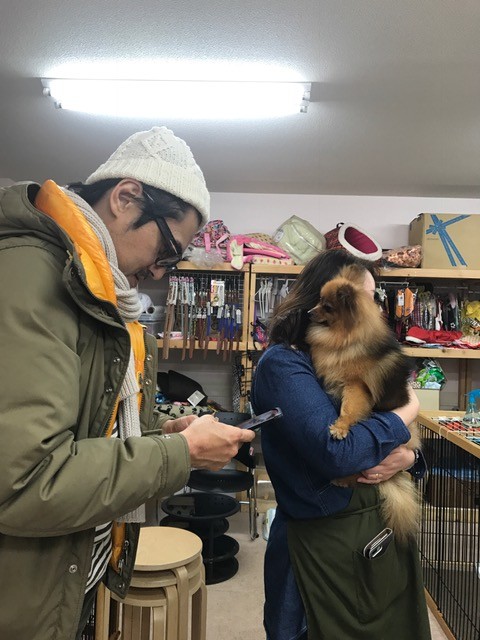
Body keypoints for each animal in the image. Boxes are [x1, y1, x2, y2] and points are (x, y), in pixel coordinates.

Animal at [306, 263, 421, 543]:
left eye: (327, 306)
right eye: (318, 300)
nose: (308, 312)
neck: (345, 336)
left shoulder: (356, 387)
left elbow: (350, 408)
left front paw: (341, 427)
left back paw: (343, 479)